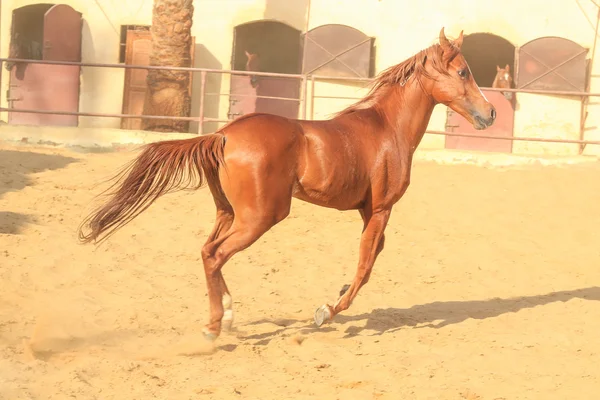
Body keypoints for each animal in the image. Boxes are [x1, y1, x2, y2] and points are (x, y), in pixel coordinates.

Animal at [77, 28, 494, 342]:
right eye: (463, 72)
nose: (489, 113)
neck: (387, 129)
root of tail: (223, 135)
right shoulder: (380, 208)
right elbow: (365, 265)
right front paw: (327, 311)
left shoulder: (368, 211)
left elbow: (372, 257)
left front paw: (336, 295)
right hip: (261, 216)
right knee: (215, 255)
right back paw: (215, 327)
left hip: (229, 212)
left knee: (207, 250)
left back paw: (228, 315)